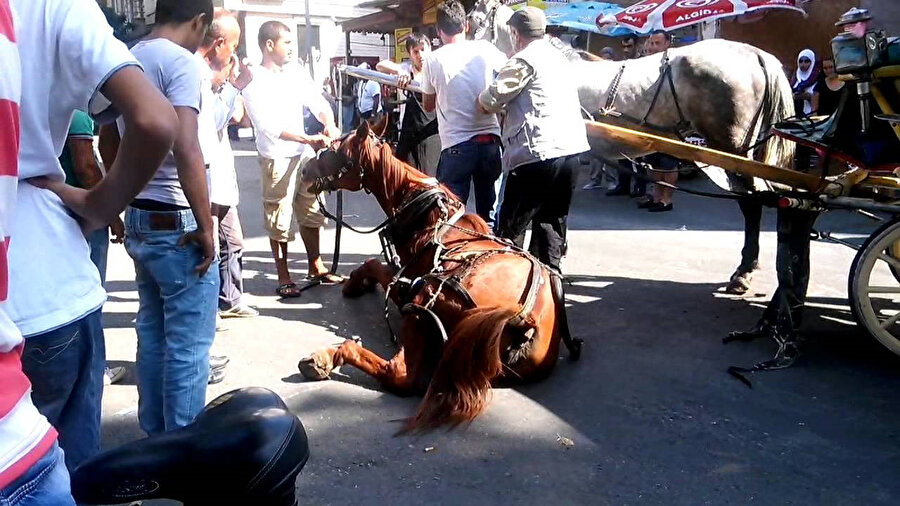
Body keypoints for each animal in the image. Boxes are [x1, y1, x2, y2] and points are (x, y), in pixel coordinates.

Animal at [298, 121, 580, 430]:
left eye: (333, 150)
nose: (304, 169)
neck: (425, 214)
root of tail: (526, 318)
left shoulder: (405, 286)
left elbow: (375, 265)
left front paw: (353, 284)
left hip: (424, 301)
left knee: (399, 375)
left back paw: (327, 357)